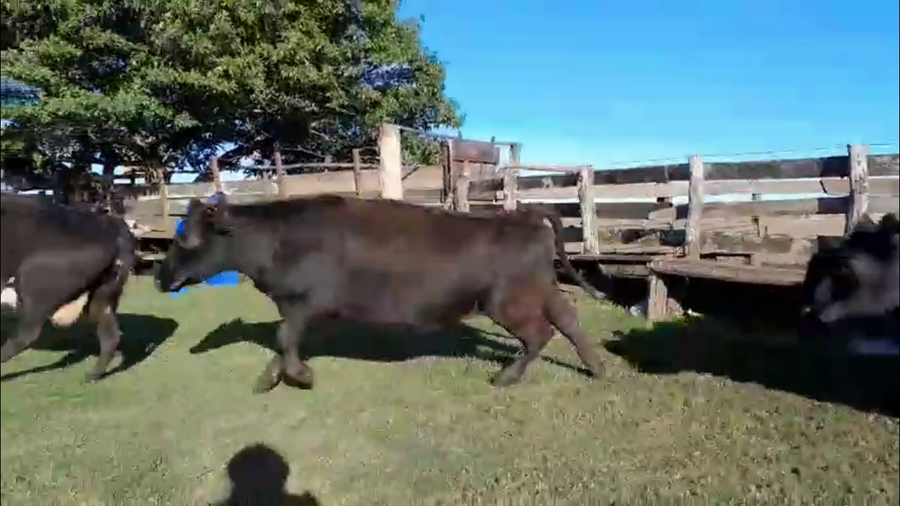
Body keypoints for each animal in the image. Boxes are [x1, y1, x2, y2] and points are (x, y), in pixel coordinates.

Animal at [1, 193, 137, 381]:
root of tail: (111, 224)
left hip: (33, 286)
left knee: (26, 333)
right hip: (103, 293)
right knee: (110, 334)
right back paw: (92, 375)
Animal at [154, 194, 606, 393]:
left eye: (184, 238)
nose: (160, 276)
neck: (278, 238)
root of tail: (524, 215)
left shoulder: (303, 301)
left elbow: (284, 337)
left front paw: (299, 376)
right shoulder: (298, 306)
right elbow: (285, 340)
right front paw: (270, 378)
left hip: (506, 301)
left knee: (540, 334)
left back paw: (506, 376)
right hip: (541, 289)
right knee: (568, 320)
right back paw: (597, 368)